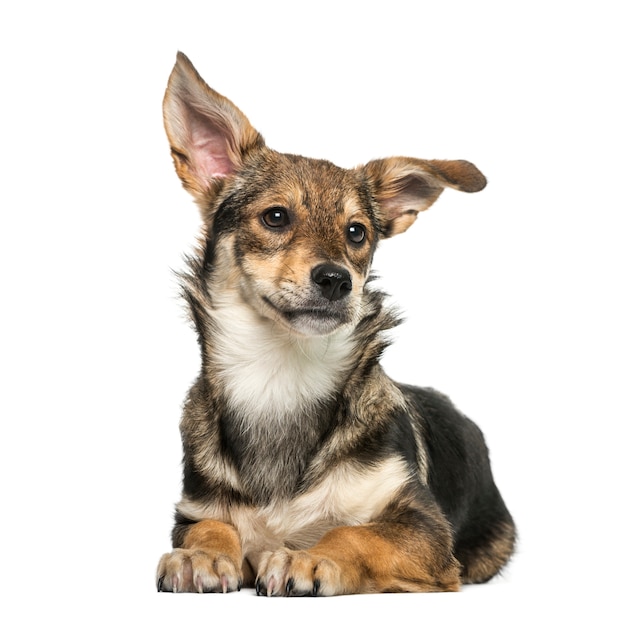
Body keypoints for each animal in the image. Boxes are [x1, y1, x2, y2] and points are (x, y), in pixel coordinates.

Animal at [155, 54, 512, 596]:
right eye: (275, 217)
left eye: (356, 233)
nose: (336, 279)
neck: (279, 376)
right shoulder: (192, 509)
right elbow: (213, 525)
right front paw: (202, 554)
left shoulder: (425, 527)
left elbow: (353, 532)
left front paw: (310, 559)